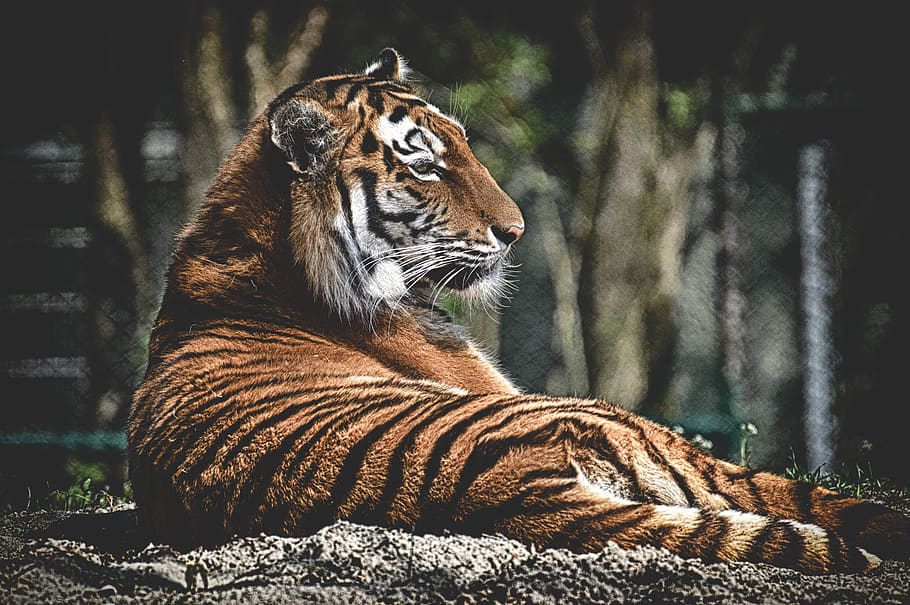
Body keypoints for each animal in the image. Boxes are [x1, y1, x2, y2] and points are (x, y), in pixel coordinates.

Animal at [128, 48, 909, 574]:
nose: (516, 231)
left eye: (462, 145)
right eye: (424, 164)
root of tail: (502, 490)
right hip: (617, 422)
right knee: (798, 494)